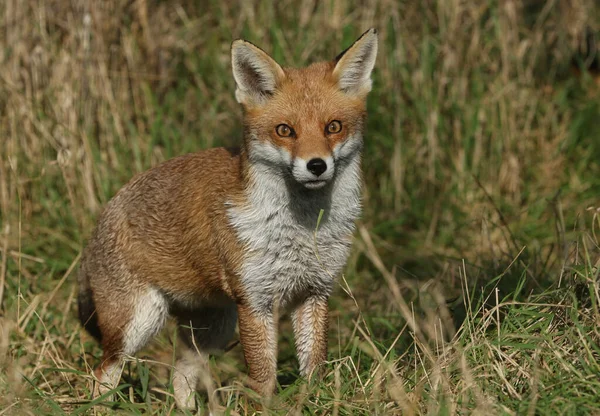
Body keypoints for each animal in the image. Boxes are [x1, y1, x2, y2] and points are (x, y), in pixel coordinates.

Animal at [77, 29, 378, 410]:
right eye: (285, 130)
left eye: (333, 127)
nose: (316, 165)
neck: (300, 231)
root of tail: (104, 213)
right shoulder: (255, 300)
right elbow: (263, 377)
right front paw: (265, 409)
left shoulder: (314, 292)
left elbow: (314, 370)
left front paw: (313, 403)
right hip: (139, 322)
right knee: (103, 373)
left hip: (213, 329)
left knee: (181, 375)